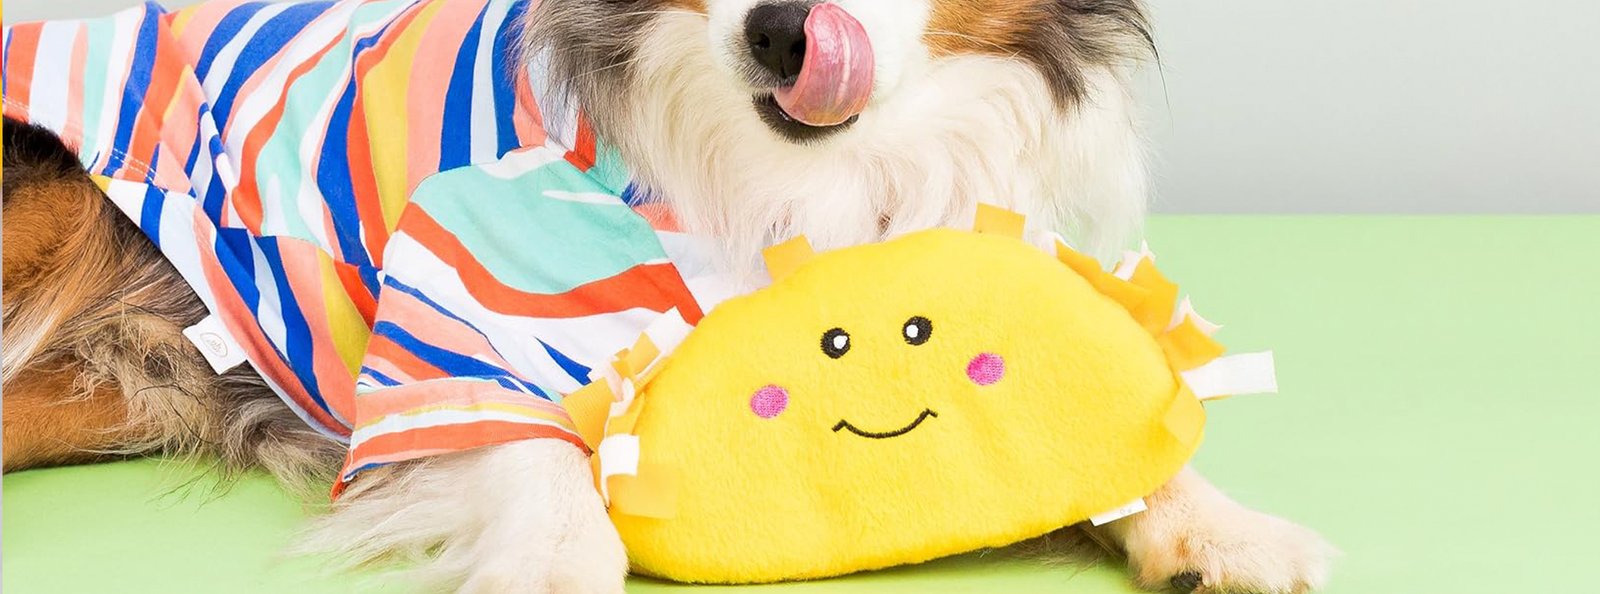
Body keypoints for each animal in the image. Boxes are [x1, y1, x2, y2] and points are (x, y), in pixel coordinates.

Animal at [3, 0, 1324, 592]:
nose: (784, 33)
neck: (802, 187)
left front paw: (1224, 528)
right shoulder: (451, 327)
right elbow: (535, 462)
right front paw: (549, 569)